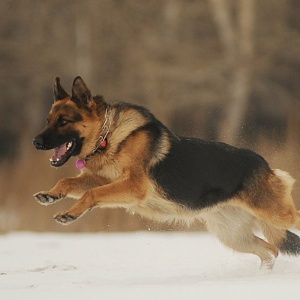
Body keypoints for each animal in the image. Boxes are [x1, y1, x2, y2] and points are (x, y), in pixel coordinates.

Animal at [32, 76, 300, 268]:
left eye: (64, 121)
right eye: (48, 120)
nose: (35, 142)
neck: (108, 137)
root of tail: (265, 165)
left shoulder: (133, 187)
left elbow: (91, 195)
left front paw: (70, 213)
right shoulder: (98, 179)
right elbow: (67, 181)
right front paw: (51, 195)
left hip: (277, 215)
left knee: (282, 235)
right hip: (233, 235)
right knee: (271, 251)